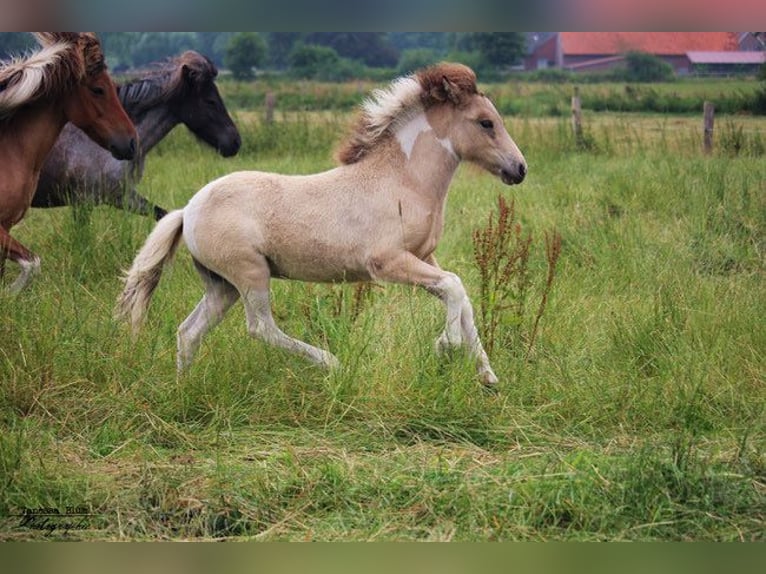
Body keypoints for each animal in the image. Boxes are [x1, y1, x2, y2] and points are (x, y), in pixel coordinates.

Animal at [117, 62, 528, 388]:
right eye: (486, 122)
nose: (520, 169)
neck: (402, 181)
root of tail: (186, 210)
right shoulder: (387, 263)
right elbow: (455, 288)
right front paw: (445, 347)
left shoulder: (425, 257)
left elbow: (460, 294)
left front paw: (488, 377)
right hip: (249, 274)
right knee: (260, 328)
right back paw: (332, 363)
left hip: (222, 285)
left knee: (189, 332)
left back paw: (182, 387)